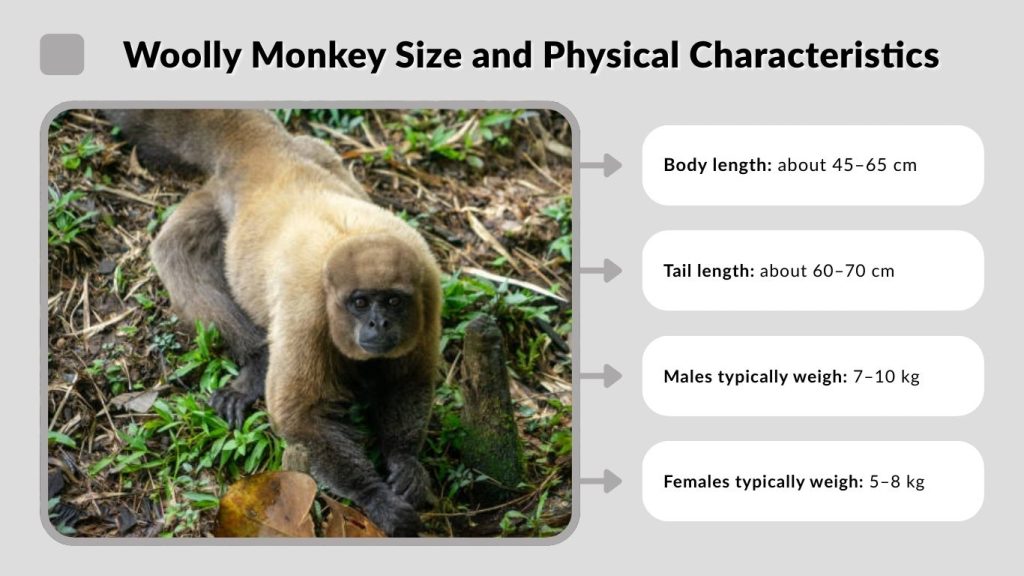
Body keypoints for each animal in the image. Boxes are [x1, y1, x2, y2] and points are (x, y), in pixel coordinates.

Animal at [109, 110, 441, 536]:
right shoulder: (308, 314)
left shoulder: (428, 292)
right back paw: (257, 362)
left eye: (394, 302)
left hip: (318, 152)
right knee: (175, 250)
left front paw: (405, 462)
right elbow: (301, 417)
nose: (379, 324)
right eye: (360, 302)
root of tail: (259, 147)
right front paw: (377, 499)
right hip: (223, 193)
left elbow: (407, 382)